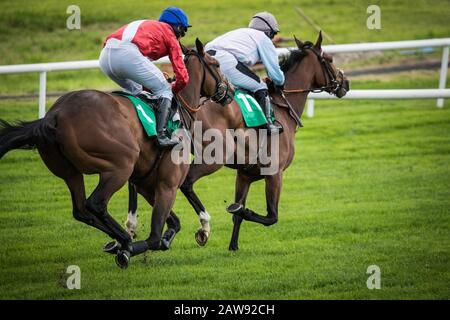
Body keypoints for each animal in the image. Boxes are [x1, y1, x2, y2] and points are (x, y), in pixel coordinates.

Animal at [0, 38, 230, 268]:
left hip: (70, 172)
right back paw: (124, 242)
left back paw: (118, 240)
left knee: (81, 210)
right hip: (119, 167)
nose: (229, 90)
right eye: (217, 64)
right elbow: (155, 237)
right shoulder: (168, 185)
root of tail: (54, 115)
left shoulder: (146, 185)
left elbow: (174, 224)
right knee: (95, 203)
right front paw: (130, 248)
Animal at [125, 31, 350, 250]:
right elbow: (271, 216)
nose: (345, 82)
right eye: (329, 59)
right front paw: (240, 211)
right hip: (213, 157)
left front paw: (233, 246)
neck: (282, 107)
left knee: (136, 182)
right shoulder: (274, 173)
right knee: (185, 183)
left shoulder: (244, 175)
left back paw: (131, 226)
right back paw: (202, 227)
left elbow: (238, 216)